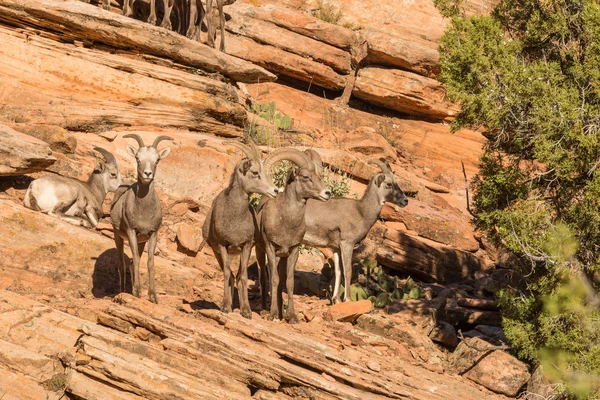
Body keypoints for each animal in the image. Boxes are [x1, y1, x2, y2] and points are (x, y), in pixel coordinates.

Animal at [110, 134, 172, 304]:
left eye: (157, 159)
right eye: (138, 158)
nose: (147, 174)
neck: (144, 211)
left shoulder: (152, 234)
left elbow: (149, 262)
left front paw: (153, 296)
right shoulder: (131, 231)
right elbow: (137, 259)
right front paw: (137, 291)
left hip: (141, 241)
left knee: (130, 262)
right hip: (118, 236)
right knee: (122, 263)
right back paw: (122, 291)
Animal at [200, 140, 278, 318]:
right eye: (255, 172)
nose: (275, 190)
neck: (234, 217)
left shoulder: (246, 246)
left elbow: (242, 276)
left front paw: (246, 311)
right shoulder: (222, 245)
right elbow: (227, 274)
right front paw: (225, 307)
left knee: (236, 276)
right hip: (218, 252)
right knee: (228, 274)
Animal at [254, 148, 330, 324]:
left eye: (319, 176)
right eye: (306, 177)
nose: (327, 193)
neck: (286, 222)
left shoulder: (293, 251)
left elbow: (288, 283)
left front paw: (292, 317)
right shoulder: (271, 248)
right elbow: (274, 279)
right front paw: (273, 315)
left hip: (282, 258)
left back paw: (281, 313)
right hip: (261, 252)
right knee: (264, 277)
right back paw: (265, 309)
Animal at [302, 156, 410, 304]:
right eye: (389, 184)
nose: (405, 201)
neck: (362, 212)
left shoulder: (336, 248)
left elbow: (338, 271)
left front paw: (336, 300)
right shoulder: (347, 244)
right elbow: (348, 271)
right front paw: (347, 299)